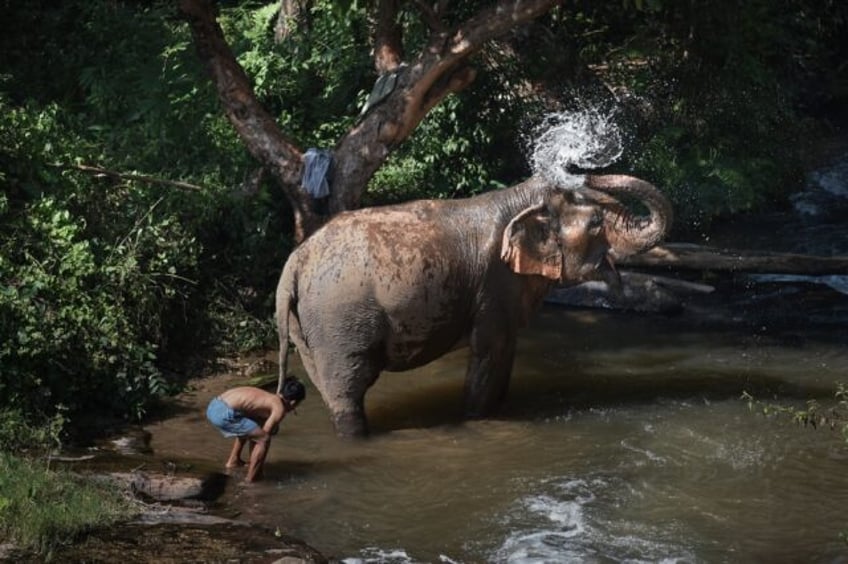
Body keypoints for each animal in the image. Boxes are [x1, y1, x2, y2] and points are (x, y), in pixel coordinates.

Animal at [274, 174, 672, 438]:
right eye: (596, 223)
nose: (582, 171)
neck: (520, 199)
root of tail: (293, 263)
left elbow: (506, 353)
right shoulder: (494, 283)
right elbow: (490, 352)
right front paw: (476, 418)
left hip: (306, 327)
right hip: (337, 321)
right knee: (348, 387)